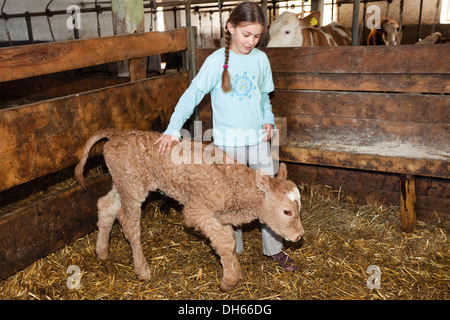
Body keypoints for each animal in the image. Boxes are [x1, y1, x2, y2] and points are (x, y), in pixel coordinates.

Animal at [75, 129, 304, 292]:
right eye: (287, 212)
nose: (299, 235)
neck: (232, 183)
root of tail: (118, 133)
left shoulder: (220, 216)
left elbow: (228, 239)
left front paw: (235, 270)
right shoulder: (196, 211)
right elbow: (225, 242)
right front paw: (228, 281)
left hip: (122, 182)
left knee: (106, 205)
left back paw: (102, 251)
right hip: (133, 188)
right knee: (128, 223)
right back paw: (142, 269)